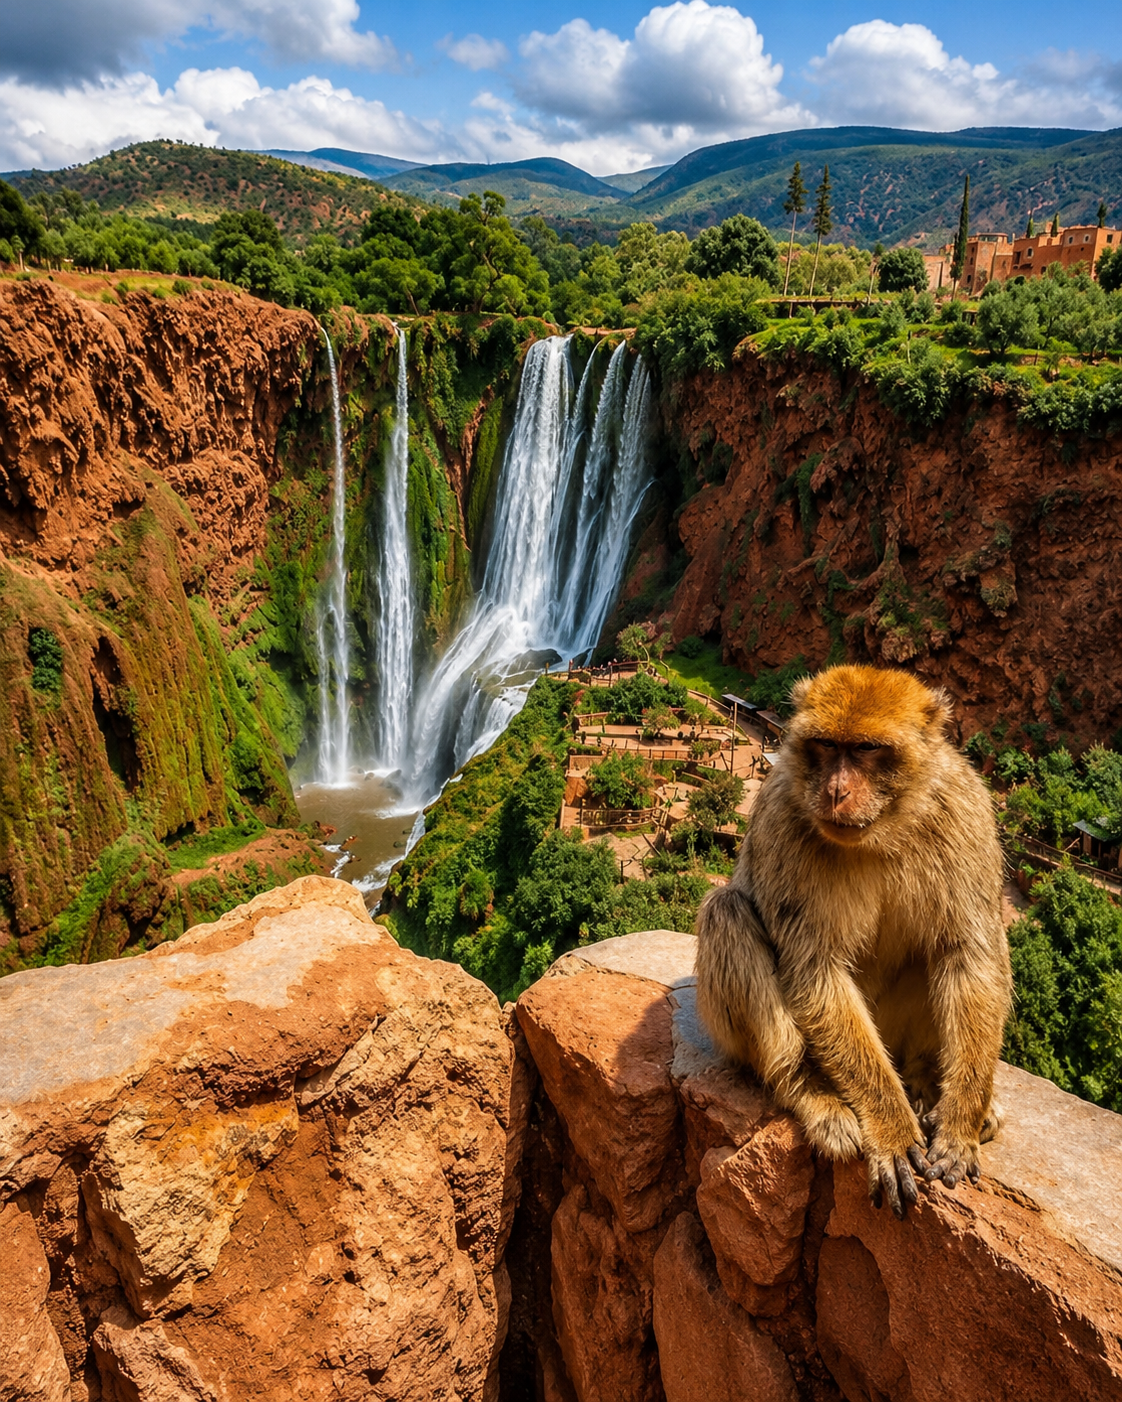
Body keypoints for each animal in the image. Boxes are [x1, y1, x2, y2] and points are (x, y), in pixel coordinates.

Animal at [695, 664, 1011, 1219]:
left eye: (865, 749)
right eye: (825, 745)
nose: (836, 790)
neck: (882, 831)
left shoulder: (964, 810)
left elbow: (966, 955)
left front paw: (960, 1122)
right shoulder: (783, 816)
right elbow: (814, 970)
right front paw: (891, 1129)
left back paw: (929, 1082)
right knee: (725, 912)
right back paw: (812, 1091)